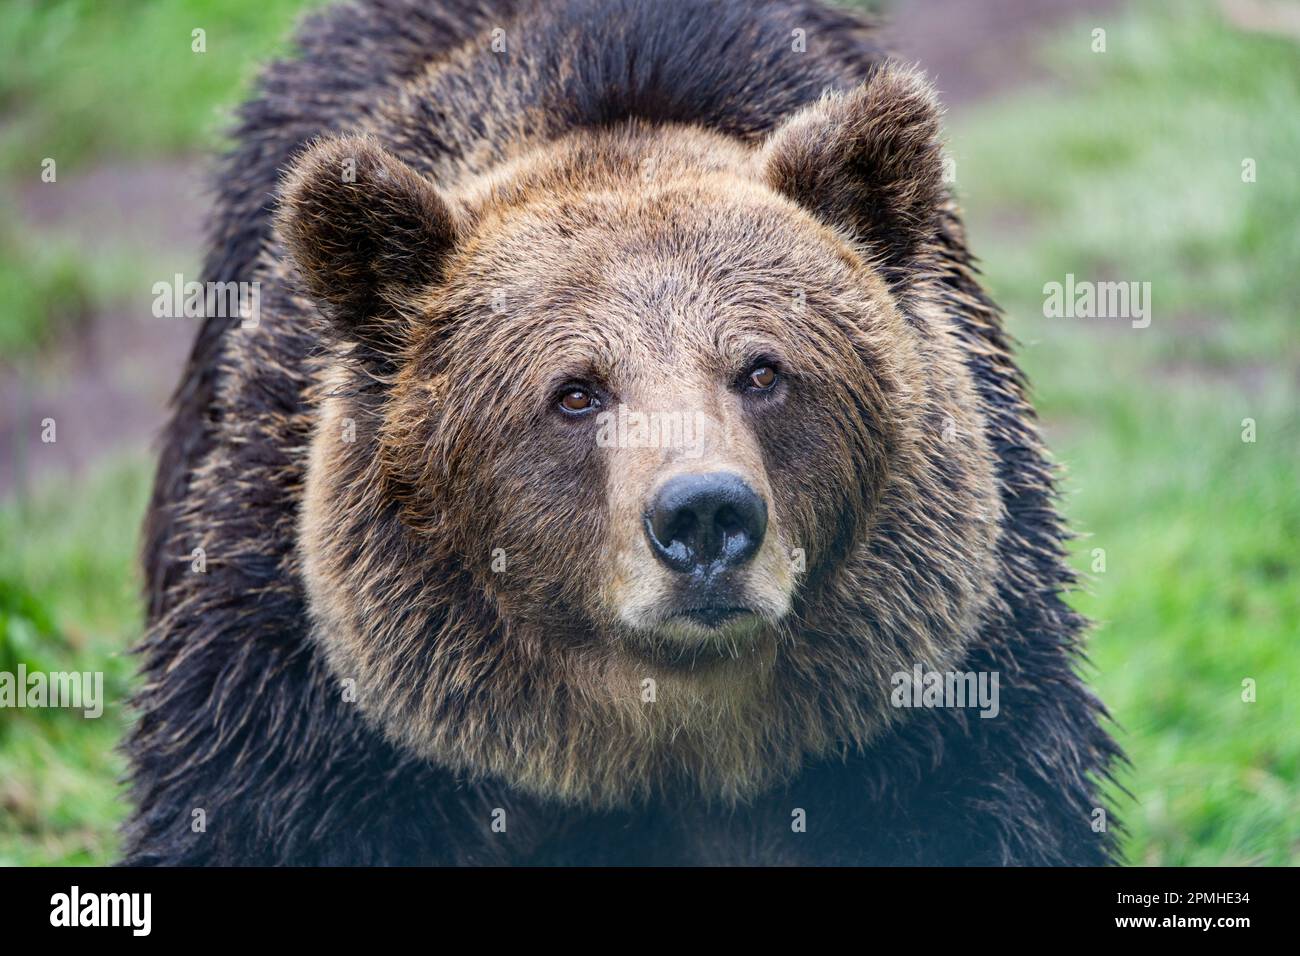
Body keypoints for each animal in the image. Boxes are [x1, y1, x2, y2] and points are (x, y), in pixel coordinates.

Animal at [126, 0, 1123, 868]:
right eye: (575, 392)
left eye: (762, 370)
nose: (705, 515)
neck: (649, 732)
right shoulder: (318, 714)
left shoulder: (933, 709)